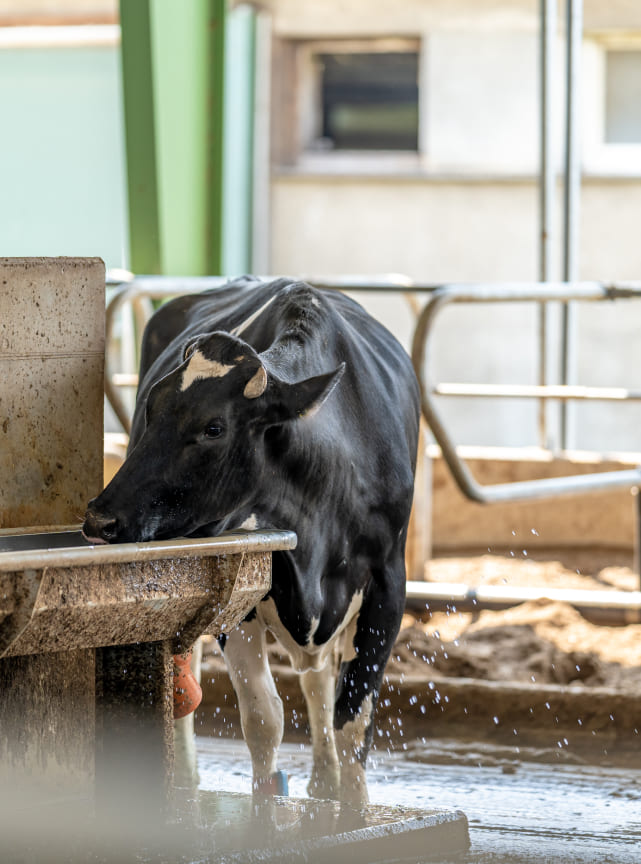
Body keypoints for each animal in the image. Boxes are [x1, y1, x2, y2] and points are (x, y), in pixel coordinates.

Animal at [85, 278, 420, 804]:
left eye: (213, 428)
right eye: (151, 407)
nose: (100, 518)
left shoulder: (389, 583)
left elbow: (352, 723)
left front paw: (352, 807)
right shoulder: (239, 577)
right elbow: (264, 719)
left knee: (318, 680)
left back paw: (323, 780)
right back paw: (186, 778)